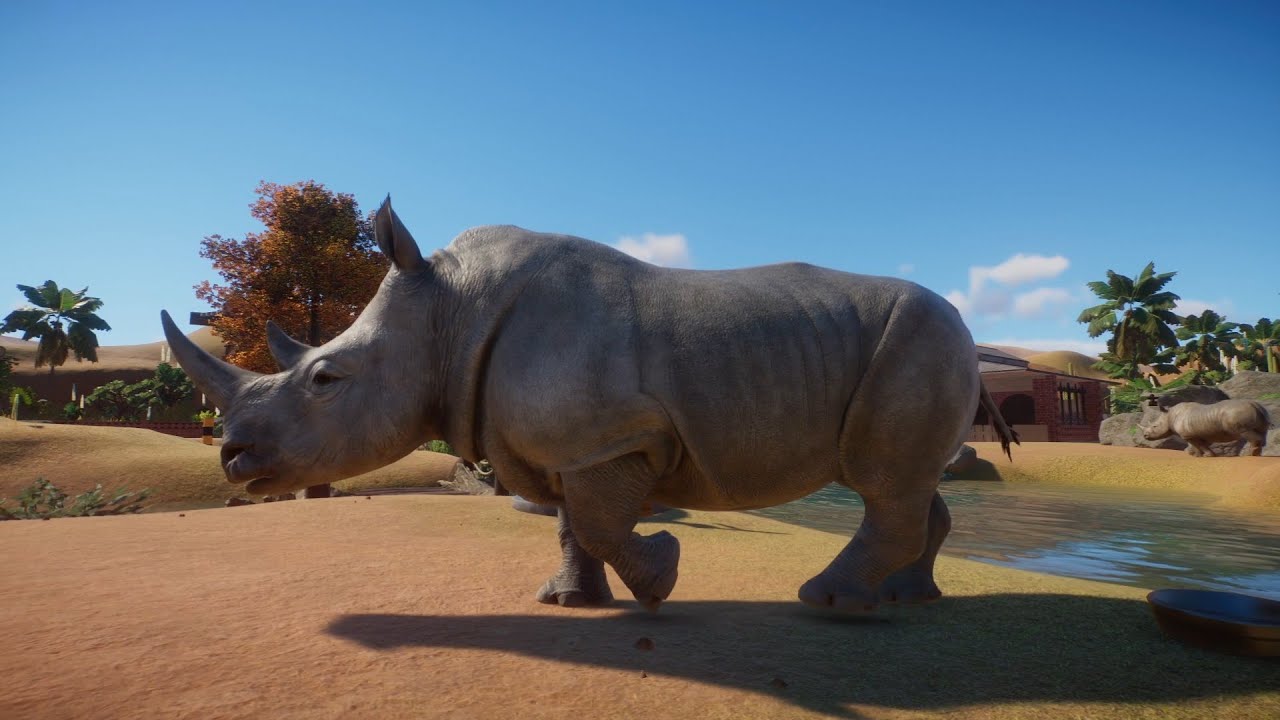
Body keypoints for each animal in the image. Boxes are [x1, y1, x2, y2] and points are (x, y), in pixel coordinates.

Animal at [162, 198, 1018, 614]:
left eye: (324, 379)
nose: (231, 458)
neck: (448, 314)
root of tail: (971, 332)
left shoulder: (614, 437)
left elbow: (604, 524)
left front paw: (661, 576)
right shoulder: (570, 443)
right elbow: (575, 524)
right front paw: (571, 602)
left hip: (922, 339)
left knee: (884, 480)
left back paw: (828, 601)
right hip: (914, 344)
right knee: (908, 480)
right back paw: (907, 600)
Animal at [1140, 398, 1272, 457]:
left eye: (1155, 426)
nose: (1145, 436)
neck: (1170, 415)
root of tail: (1255, 405)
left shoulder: (1187, 435)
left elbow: (1199, 444)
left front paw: (1205, 455)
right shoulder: (1201, 433)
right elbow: (1201, 444)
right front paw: (1194, 454)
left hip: (1237, 414)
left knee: (1246, 433)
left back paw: (1248, 456)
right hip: (1261, 412)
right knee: (1262, 432)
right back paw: (1256, 454)